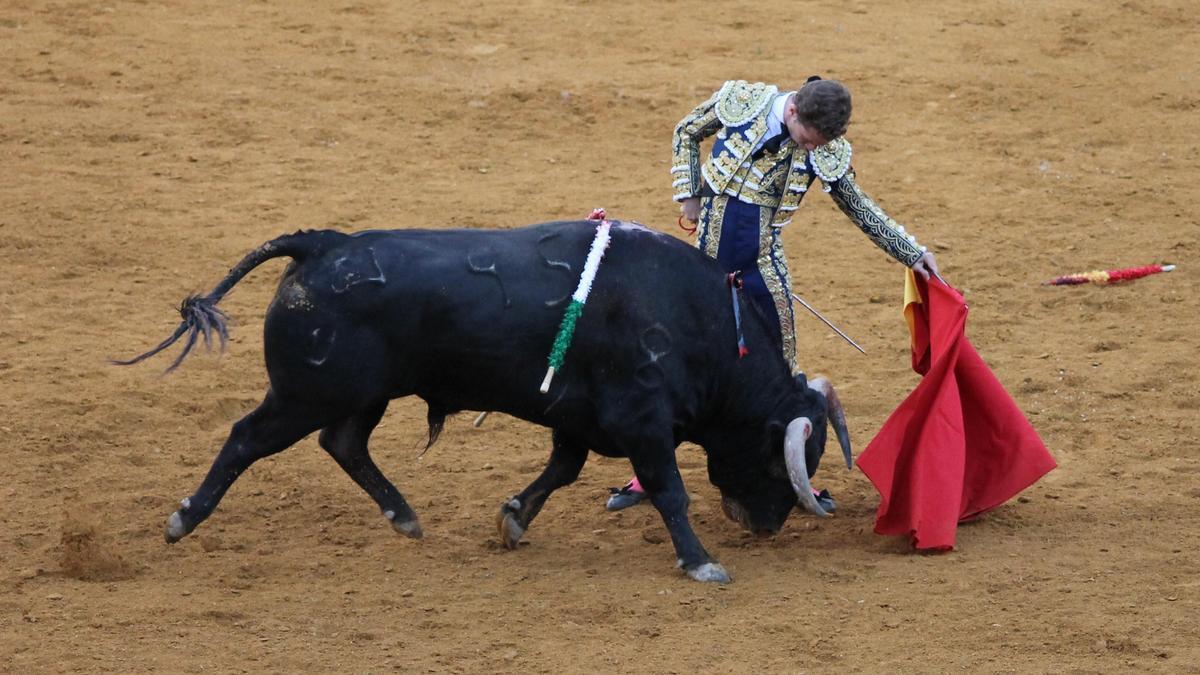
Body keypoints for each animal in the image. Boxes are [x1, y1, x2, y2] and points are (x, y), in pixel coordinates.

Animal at [119, 219, 854, 578]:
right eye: (778, 457)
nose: (766, 525)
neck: (696, 320)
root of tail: (323, 245)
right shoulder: (642, 421)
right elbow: (668, 490)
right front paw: (701, 562)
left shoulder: (578, 420)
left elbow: (562, 470)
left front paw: (513, 519)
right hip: (304, 393)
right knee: (247, 437)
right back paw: (182, 519)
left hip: (360, 394)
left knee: (344, 443)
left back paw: (404, 516)